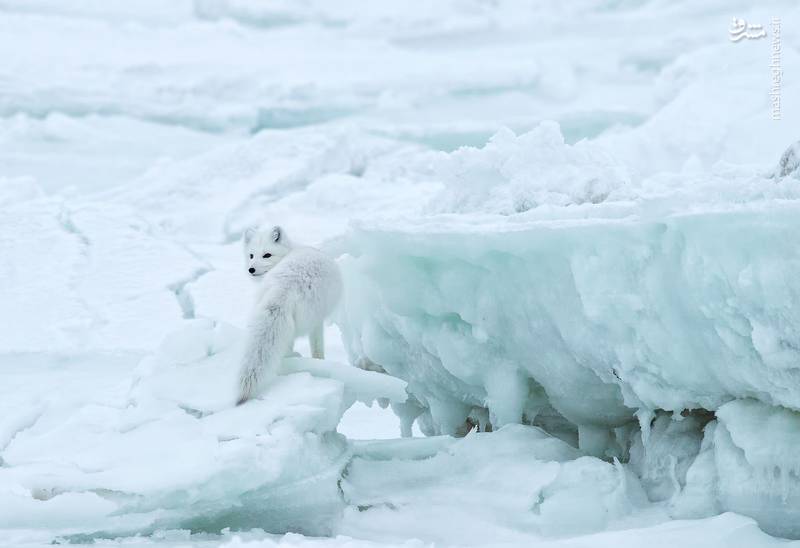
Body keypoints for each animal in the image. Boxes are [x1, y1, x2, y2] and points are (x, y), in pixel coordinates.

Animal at [234, 225, 340, 404]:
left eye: (267, 255)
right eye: (251, 255)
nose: (251, 269)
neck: (291, 249)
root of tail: (284, 287)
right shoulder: (317, 321)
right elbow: (317, 348)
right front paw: (320, 361)